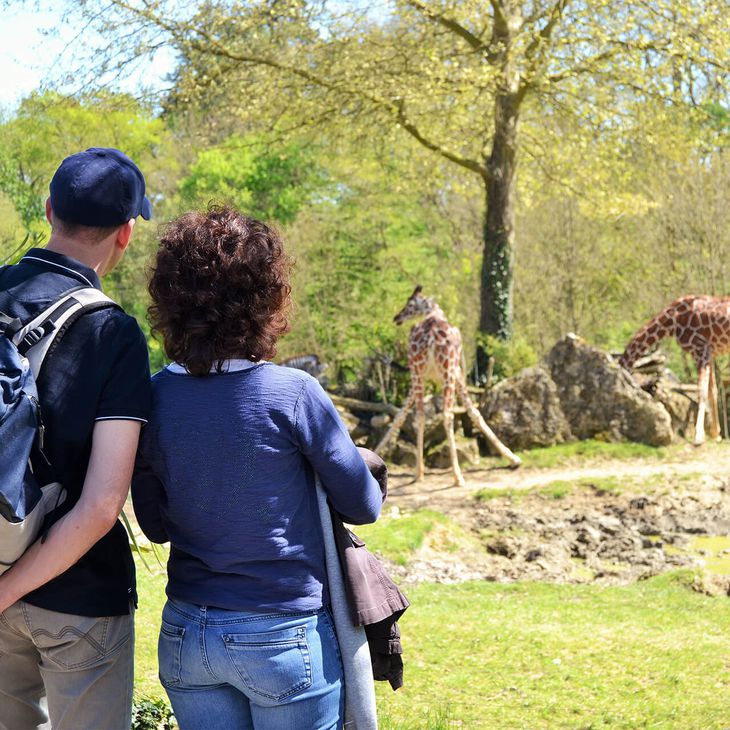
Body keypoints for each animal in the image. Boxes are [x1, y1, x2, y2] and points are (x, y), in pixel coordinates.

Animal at [372, 284, 520, 484]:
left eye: (410, 304)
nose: (397, 317)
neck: (433, 313)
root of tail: (431, 337)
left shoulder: (419, 377)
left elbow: (400, 415)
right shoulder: (455, 372)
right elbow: (474, 412)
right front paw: (513, 458)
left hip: (420, 372)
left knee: (421, 415)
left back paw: (419, 472)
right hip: (447, 371)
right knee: (447, 415)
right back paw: (457, 476)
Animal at [616, 294, 728, 444]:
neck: (671, 321)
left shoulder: (700, 349)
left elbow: (701, 390)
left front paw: (698, 436)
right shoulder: (709, 352)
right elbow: (712, 390)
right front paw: (716, 434)